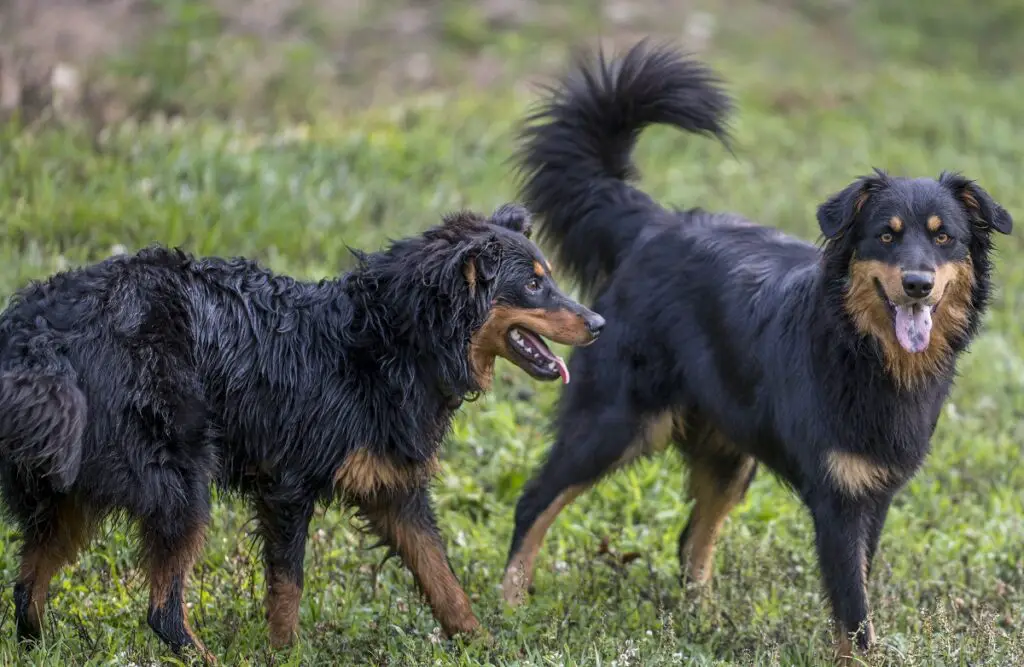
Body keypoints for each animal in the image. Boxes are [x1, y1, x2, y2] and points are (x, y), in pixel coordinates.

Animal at [0, 204, 598, 663]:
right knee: (162, 612)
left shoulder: (395, 491)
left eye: (549, 278)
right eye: (534, 284)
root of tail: (36, 330)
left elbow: (444, 583)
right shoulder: (287, 486)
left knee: (28, 590)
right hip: (180, 483)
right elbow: (288, 588)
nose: (599, 323)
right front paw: (285, 654)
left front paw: (486, 646)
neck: (391, 339)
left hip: (69, 488)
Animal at [499, 41, 1011, 663]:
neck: (862, 349)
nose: (917, 284)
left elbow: (859, 592)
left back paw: (701, 622)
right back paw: (508, 607)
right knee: (535, 501)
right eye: (885, 236)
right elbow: (853, 610)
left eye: (944, 238)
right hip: (615, 421)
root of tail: (656, 225)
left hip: (728, 451)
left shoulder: (874, 492)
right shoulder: (838, 500)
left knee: (690, 542)